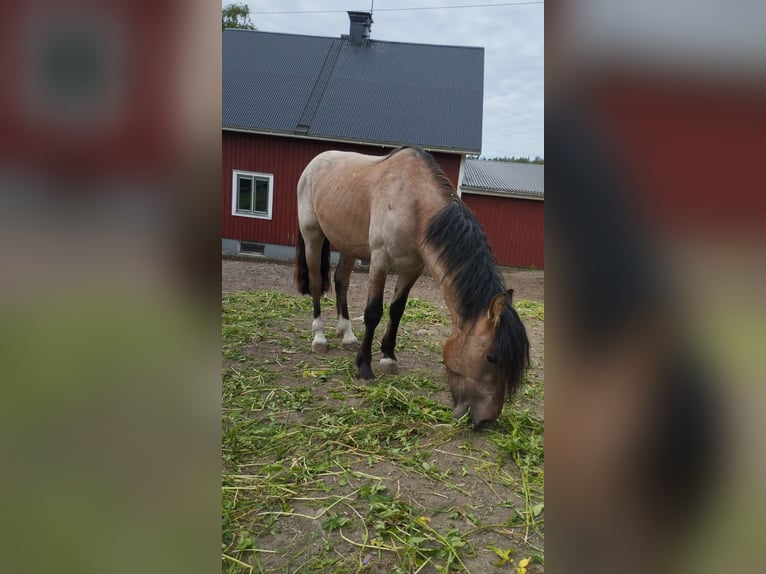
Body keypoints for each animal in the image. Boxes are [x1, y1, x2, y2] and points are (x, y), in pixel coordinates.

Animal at [296, 147, 532, 428]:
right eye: (491, 358)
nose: (486, 420)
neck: (413, 204)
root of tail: (315, 161)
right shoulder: (380, 261)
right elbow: (373, 313)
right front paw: (364, 368)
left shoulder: (412, 269)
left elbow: (396, 311)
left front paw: (388, 357)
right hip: (313, 236)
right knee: (316, 284)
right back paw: (319, 337)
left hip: (348, 245)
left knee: (342, 281)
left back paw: (347, 334)